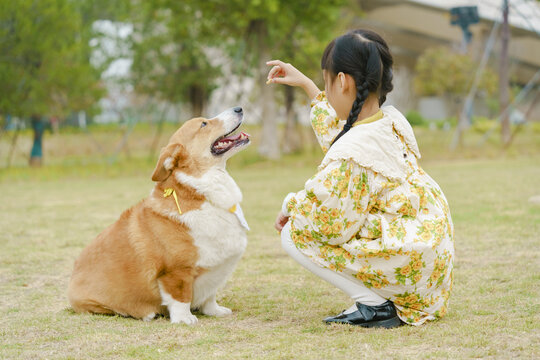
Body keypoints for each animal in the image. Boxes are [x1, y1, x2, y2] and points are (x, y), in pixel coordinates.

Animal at [68, 106, 251, 324]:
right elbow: (180, 297)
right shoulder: (176, 272)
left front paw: (214, 310)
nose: (239, 108)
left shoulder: (212, 275)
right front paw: (184, 319)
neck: (199, 190)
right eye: (204, 124)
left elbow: (209, 296)